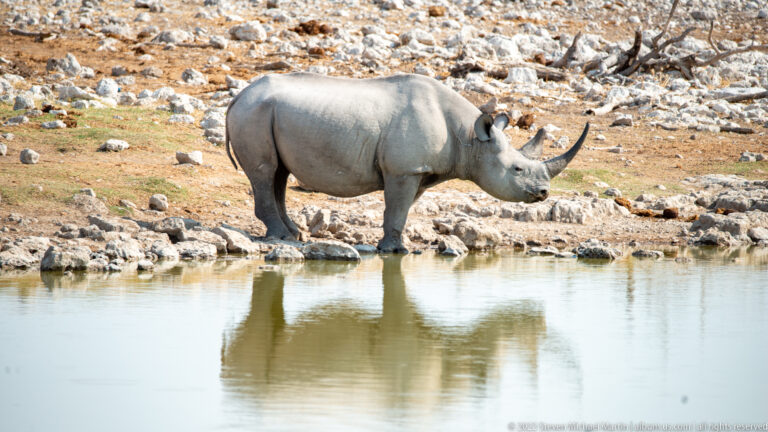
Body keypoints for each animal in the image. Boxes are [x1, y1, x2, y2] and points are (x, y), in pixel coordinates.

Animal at [225, 72, 588, 253]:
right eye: (517, 169)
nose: (543, 193)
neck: (471, 139)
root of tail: (238, 96)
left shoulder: (418, 171)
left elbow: (400, 210)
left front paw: (396, 245)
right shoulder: (404, 169)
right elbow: (397, 208)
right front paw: (394, 252)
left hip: (265, 113)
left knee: (279, 174)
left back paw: (295, 236)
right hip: (254, 114)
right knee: (265, 172)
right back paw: (282, 239)